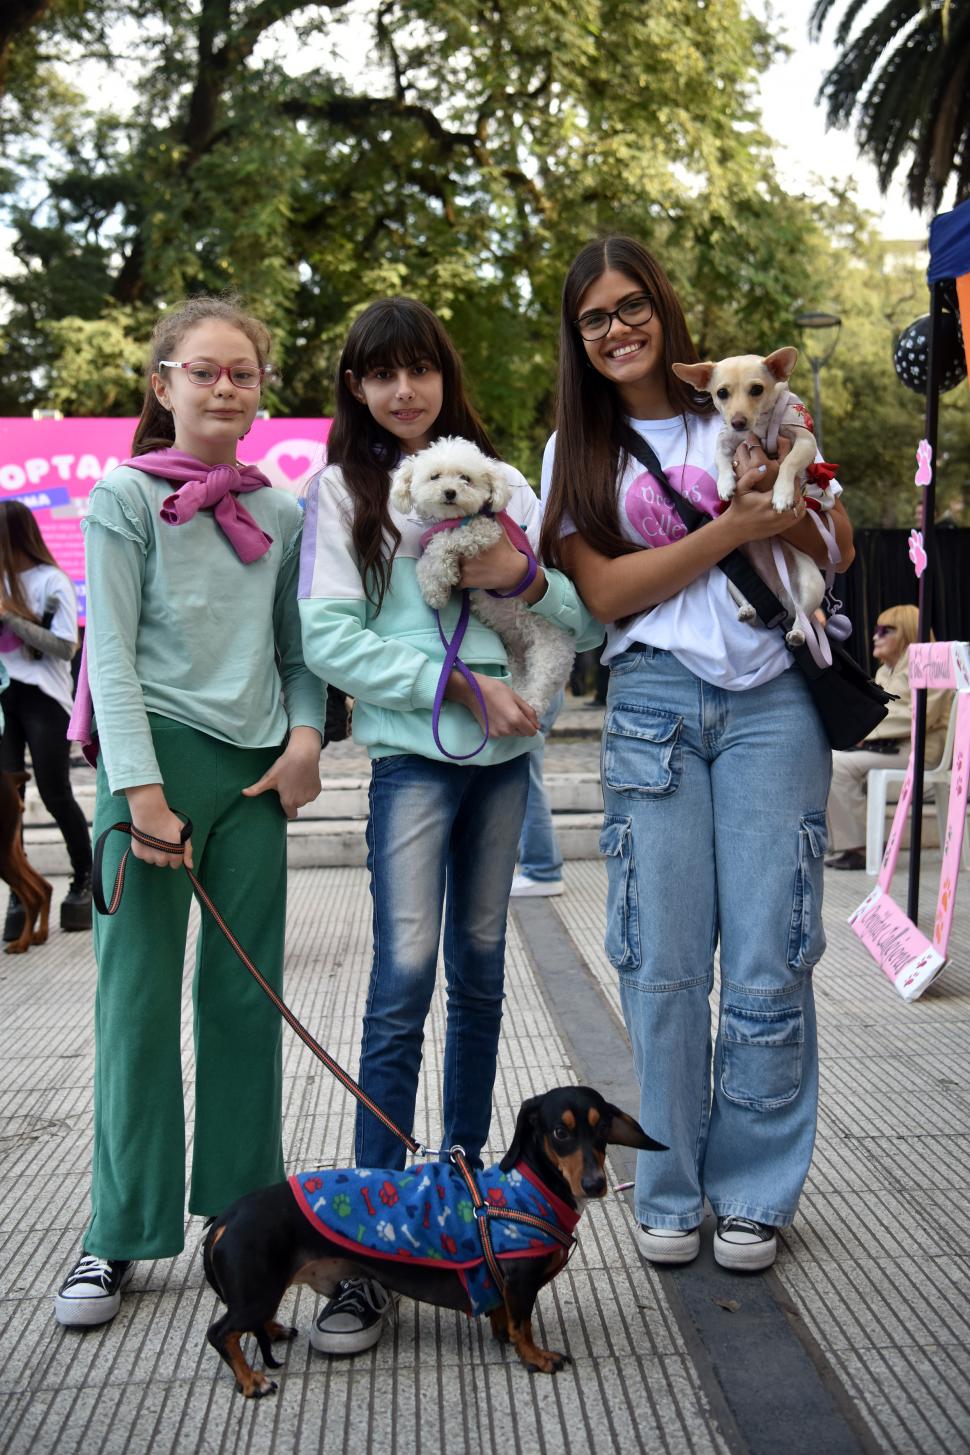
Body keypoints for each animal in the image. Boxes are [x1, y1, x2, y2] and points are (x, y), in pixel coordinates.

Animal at [0, 768, 52, 960]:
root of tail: (10, 776)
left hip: (2, 852)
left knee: (33, 896)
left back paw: (22, 943)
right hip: (12, 846)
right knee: (44, 886)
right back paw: (39, 935)